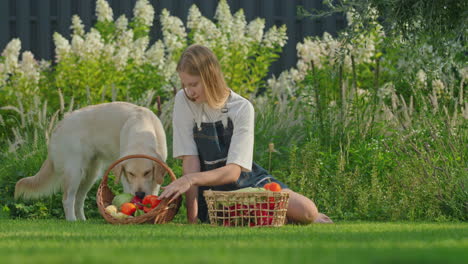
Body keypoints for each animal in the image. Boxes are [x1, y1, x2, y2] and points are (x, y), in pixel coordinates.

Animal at [14, 102, 167, 222]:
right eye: (131, 174)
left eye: (147, 172)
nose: (139, 194)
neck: (141, 131)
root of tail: (61, 123)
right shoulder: (125, 178)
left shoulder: (155, 178)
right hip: (74, 173)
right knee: (68, 199)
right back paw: (72, 220)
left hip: (90, 175)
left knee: (79, 199)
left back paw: (83, 220)